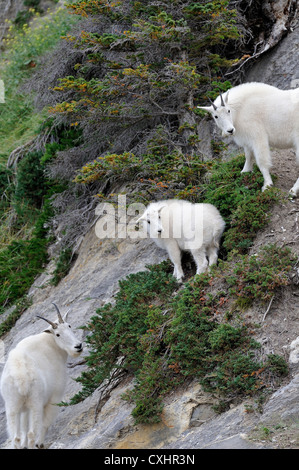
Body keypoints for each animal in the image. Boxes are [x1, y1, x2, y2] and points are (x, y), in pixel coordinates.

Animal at [1, 302, 84, 450]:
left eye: (69, 326)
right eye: (57, 334)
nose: (78, 346)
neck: (51, 344)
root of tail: (21, 378)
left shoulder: (24, 409)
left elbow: (23, 428)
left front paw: (24, 446)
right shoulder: (55, 396)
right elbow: (45, 423)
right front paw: (40, 443)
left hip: (12, 405)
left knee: (16, 437)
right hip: (36, 403)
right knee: (31, 433)